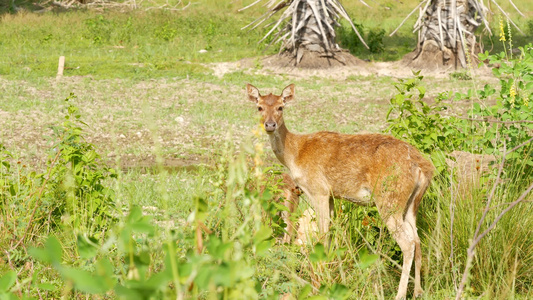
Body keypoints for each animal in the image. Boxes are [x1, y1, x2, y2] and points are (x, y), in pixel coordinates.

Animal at [247, 82, 434, 300]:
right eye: (259, 107)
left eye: (280, 107)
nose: (270, 125)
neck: (295, 155)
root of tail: (423, 167)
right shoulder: (331, 195)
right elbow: (330, 236)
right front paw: (327, 275)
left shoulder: (318, 190)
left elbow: (321, 236)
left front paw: (317, 282)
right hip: (411, 204)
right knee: (417, 239)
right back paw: (419, 291)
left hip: (389, 198)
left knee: (407, 243)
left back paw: (400, 294)